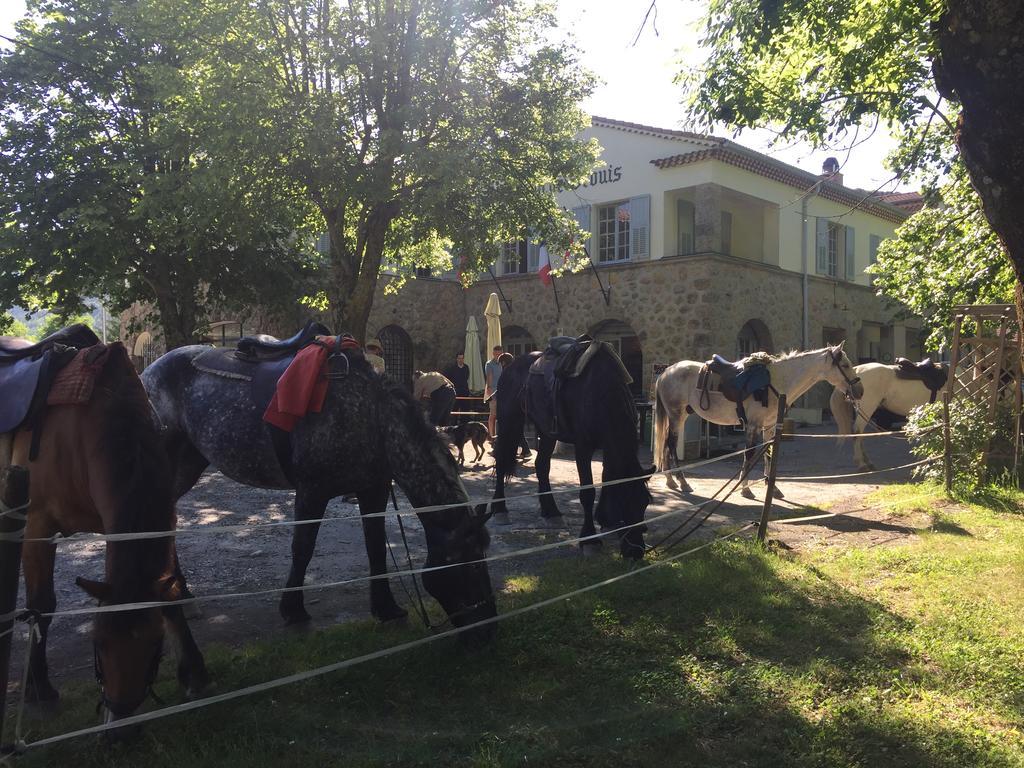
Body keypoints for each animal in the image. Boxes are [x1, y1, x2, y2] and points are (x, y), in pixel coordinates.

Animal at [0, 339, 207, 724]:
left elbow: (170, 593)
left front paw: (194, 672)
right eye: (98, 645)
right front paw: (40, 688)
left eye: (155, 646)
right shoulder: (37, 527)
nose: (121, 721)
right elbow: (41, 605)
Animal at [143, 346, 495, 638]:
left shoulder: (373, 490)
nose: (487, 630)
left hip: (190, 461)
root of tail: (149, 371)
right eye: (474, 564)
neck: (371, 417)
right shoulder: (312, 491)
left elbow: (376, 546)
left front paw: (385, 607)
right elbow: (303, 548)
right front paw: (293, 609)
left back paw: (182, 595)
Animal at [491, 346, 651, 557]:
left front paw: (605, 520)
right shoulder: (583, 447)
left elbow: (607, 479)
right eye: (623, 503)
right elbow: (588, 492)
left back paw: (551, 512)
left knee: (541, 466)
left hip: (547, 432)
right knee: (502, 460)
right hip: (510, 421)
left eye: (645, 503)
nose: (636, 551)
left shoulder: (608, 446)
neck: (600, 392)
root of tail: (510, 367)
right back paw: (499, 509)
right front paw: (589, 538)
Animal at [651, 344, 860, 499]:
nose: (860, 391)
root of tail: (666, 372)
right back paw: (682, 482)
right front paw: (745, 489)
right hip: (676, 415)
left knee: (666, 444)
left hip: (677, 417)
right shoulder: (753, 425)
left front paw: (773, 488)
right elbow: (749, 455)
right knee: (671, 443)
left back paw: (670, 481)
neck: (775, 382)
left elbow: (768, 453)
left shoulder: (770, 426)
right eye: (845, 365)